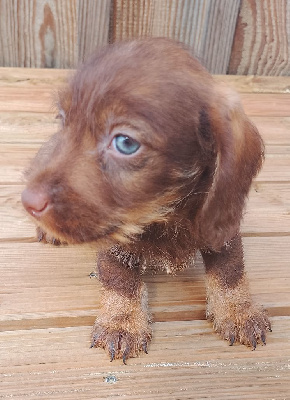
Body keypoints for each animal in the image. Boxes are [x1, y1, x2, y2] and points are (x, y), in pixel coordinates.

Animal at [21, 38, 270, 362]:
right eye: (63, 120)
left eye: (125, 143)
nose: (28, 202)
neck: (162, 215)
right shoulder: (114, 244)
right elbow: (120, 281)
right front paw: (122, 322)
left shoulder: (222, 227)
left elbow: (230, 271)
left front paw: (239, 311)